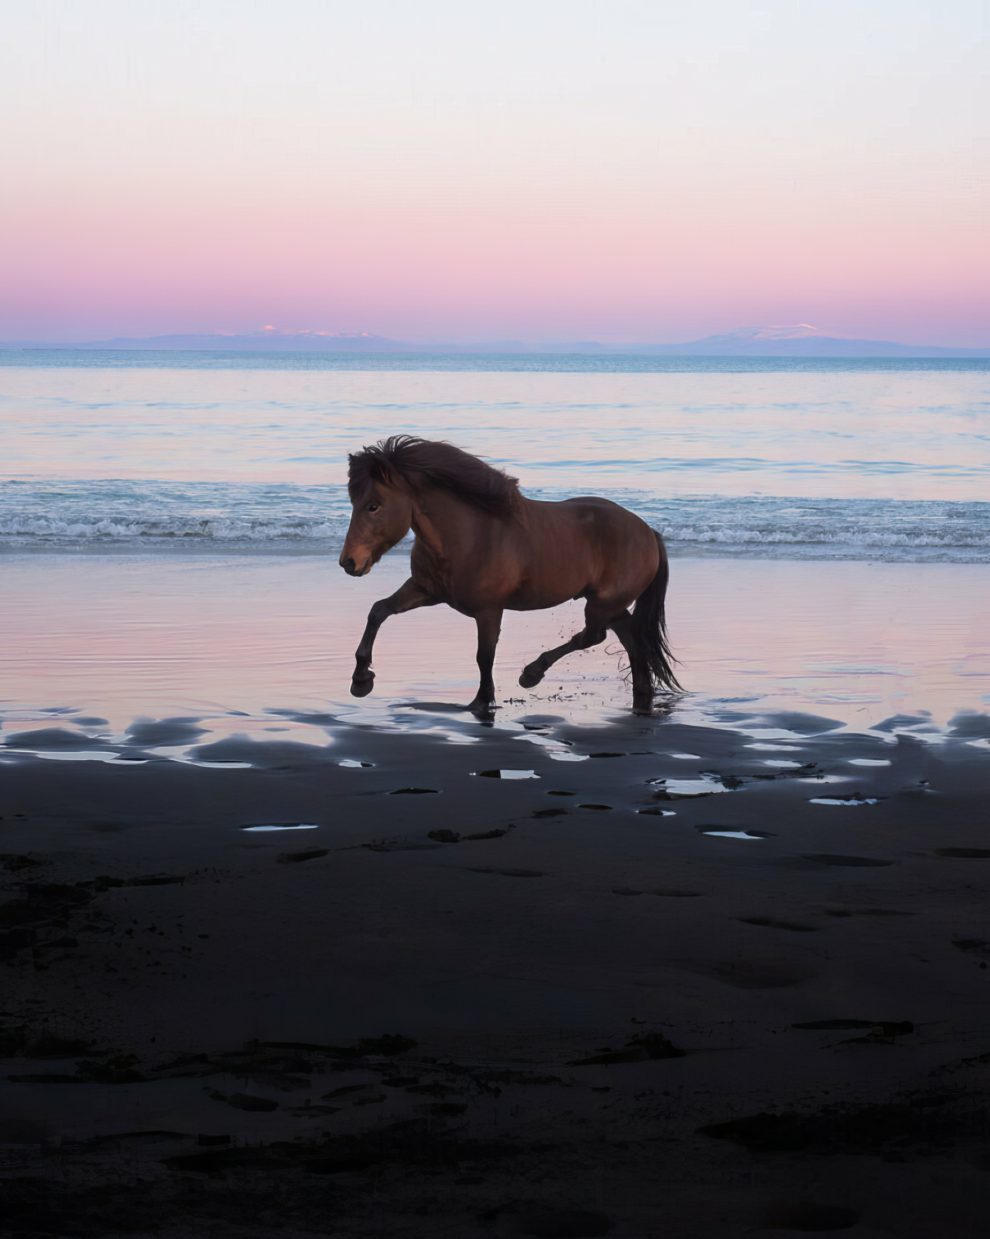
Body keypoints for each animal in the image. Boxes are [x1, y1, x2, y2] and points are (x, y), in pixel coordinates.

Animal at [341, 441, 683, 718]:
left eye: (373, 505)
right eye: (353, 502)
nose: (349, 562)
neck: (469, 535)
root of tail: (648, 533)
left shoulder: (489, 611)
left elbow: (484, 656)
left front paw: (482, 701)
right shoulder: (425, 590)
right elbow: (378, 611)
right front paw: (360, 680)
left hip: (602, 604)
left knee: (594, 636)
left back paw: (531, 674)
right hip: (609, 605)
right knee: (630, 638)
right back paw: (641, 697)